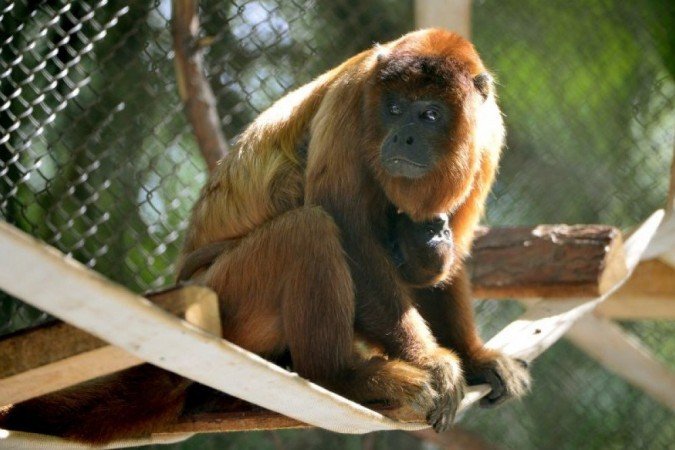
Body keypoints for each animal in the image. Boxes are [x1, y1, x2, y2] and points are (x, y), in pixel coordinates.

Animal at [0, 29, 530, 443]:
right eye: (396, 108)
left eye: (429, 114)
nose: (402, 137)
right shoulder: (352, 102)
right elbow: (351, 234)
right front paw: (434, 361)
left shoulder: (488, 136)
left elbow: (450, 258)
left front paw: (474, 357)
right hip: (227, 292)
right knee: (308, 229)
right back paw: (342, 378)